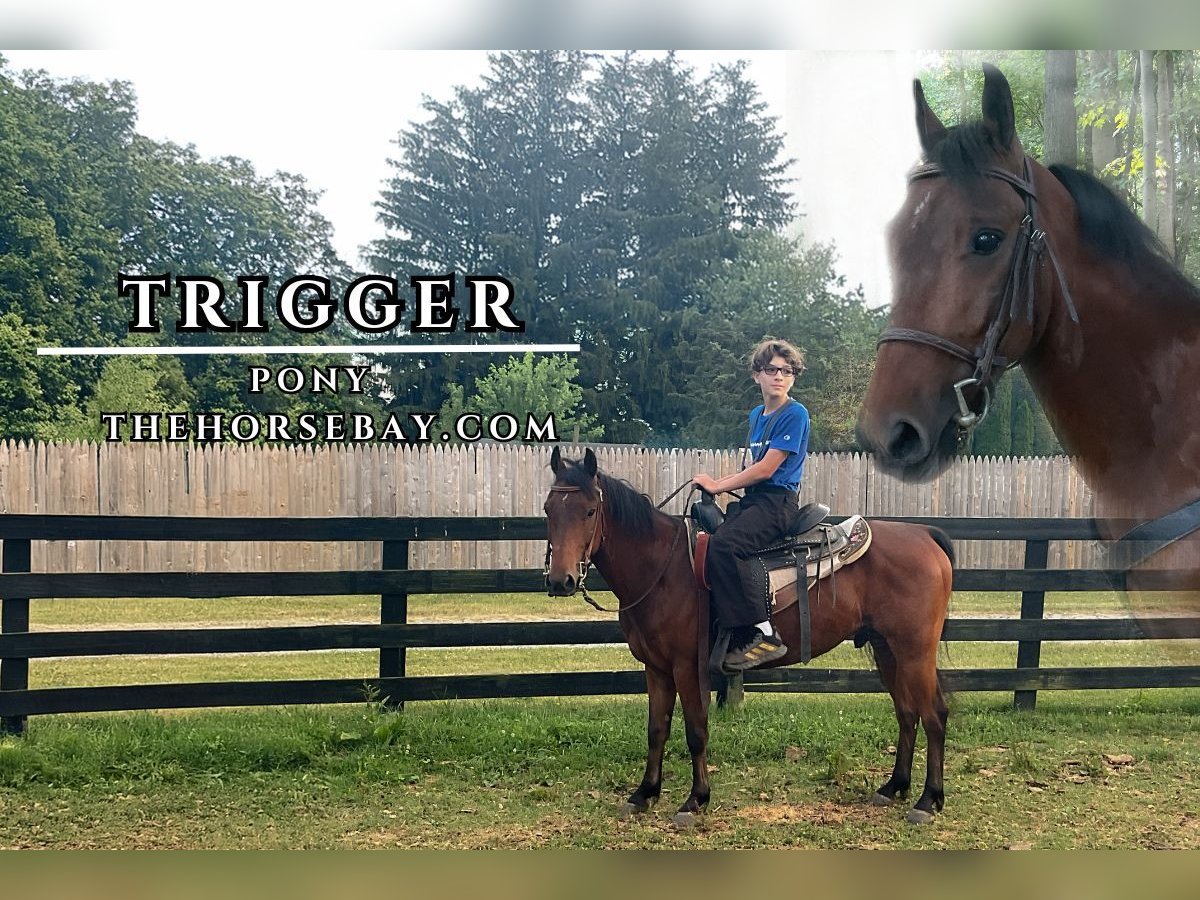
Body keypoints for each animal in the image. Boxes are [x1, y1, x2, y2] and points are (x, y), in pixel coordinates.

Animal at [543, 446, 956, 825]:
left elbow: (695, 729)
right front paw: (644, 793)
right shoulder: (656, 668)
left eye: (589, 511)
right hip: (888, 649)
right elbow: (656, 729)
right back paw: (894, 787)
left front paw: (695, 800)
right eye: (549, 510)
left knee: (934, 714)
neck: (663, 568)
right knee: (907, 713)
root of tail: (924, 533)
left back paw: (928, 800)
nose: (561, 581)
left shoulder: (687, 667)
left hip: (915, 651)